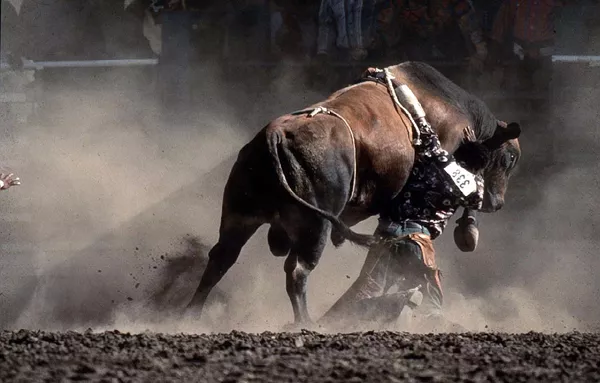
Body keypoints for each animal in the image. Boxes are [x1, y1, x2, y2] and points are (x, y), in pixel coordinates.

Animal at [186, 61, 520, 326]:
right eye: (509, 159)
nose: (497, 203)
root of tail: (275, 135)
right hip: (314, 227)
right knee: (296, 270)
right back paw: (306, 322)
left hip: (240, 214)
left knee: (221, 258)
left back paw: (190, 314)